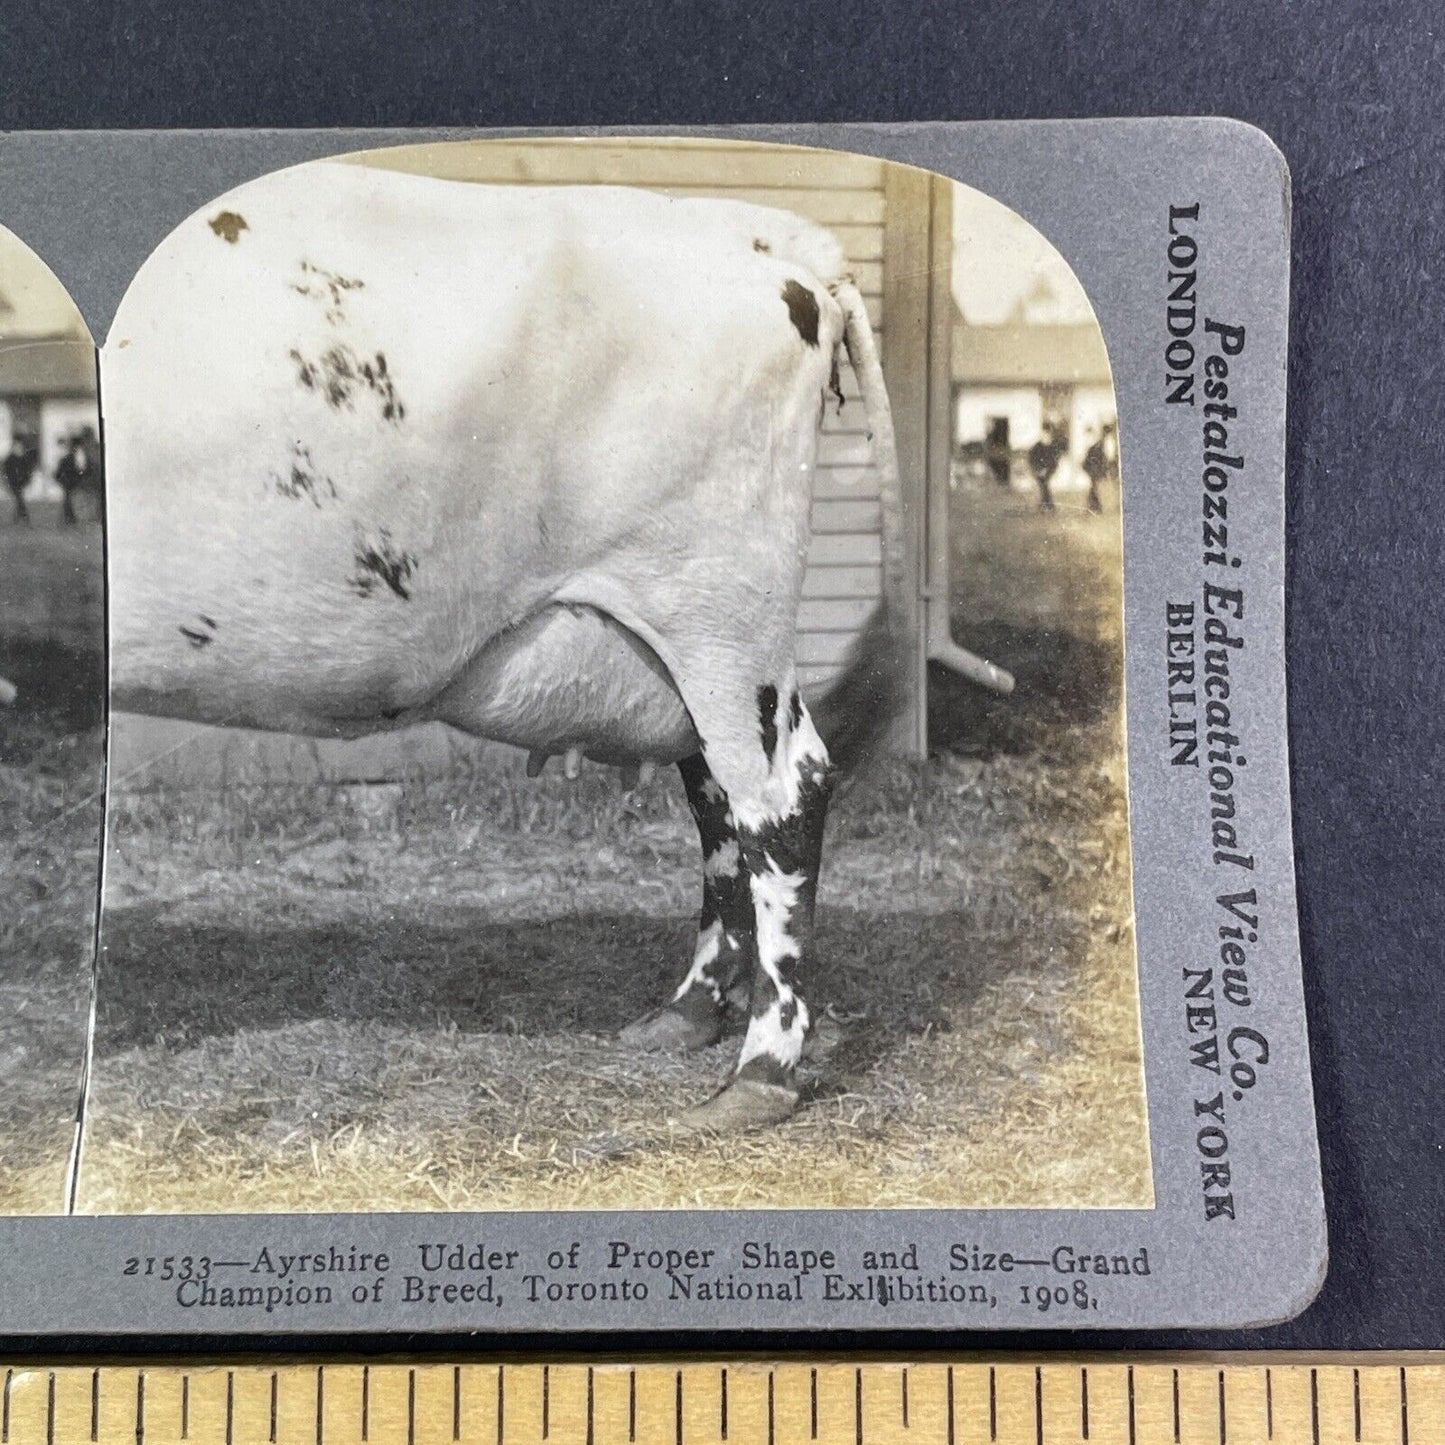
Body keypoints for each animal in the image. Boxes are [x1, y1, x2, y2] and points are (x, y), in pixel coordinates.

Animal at [106, 155, 901, 1127]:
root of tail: (769, 236)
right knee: (715, 799)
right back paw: (686, 1012)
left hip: (721, 605)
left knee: (783, 800)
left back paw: (762, 1068)